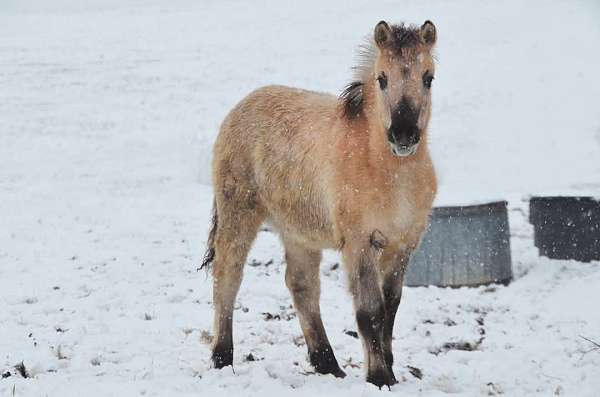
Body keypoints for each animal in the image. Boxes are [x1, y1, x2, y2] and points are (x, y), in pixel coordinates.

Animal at [199, 19, 438, 386]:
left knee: (301, 285)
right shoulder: (359, 242)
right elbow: (371, 311)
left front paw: (390, 370)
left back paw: (327, 364)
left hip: (297, 231)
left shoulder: (403, 244)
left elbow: (391, 306)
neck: (389, 174)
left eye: (428, 77)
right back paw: (222, 358)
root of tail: (242, 105)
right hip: (239, 212)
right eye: (382, 78)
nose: (403, 134)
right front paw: (379, 376)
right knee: (228, 274)